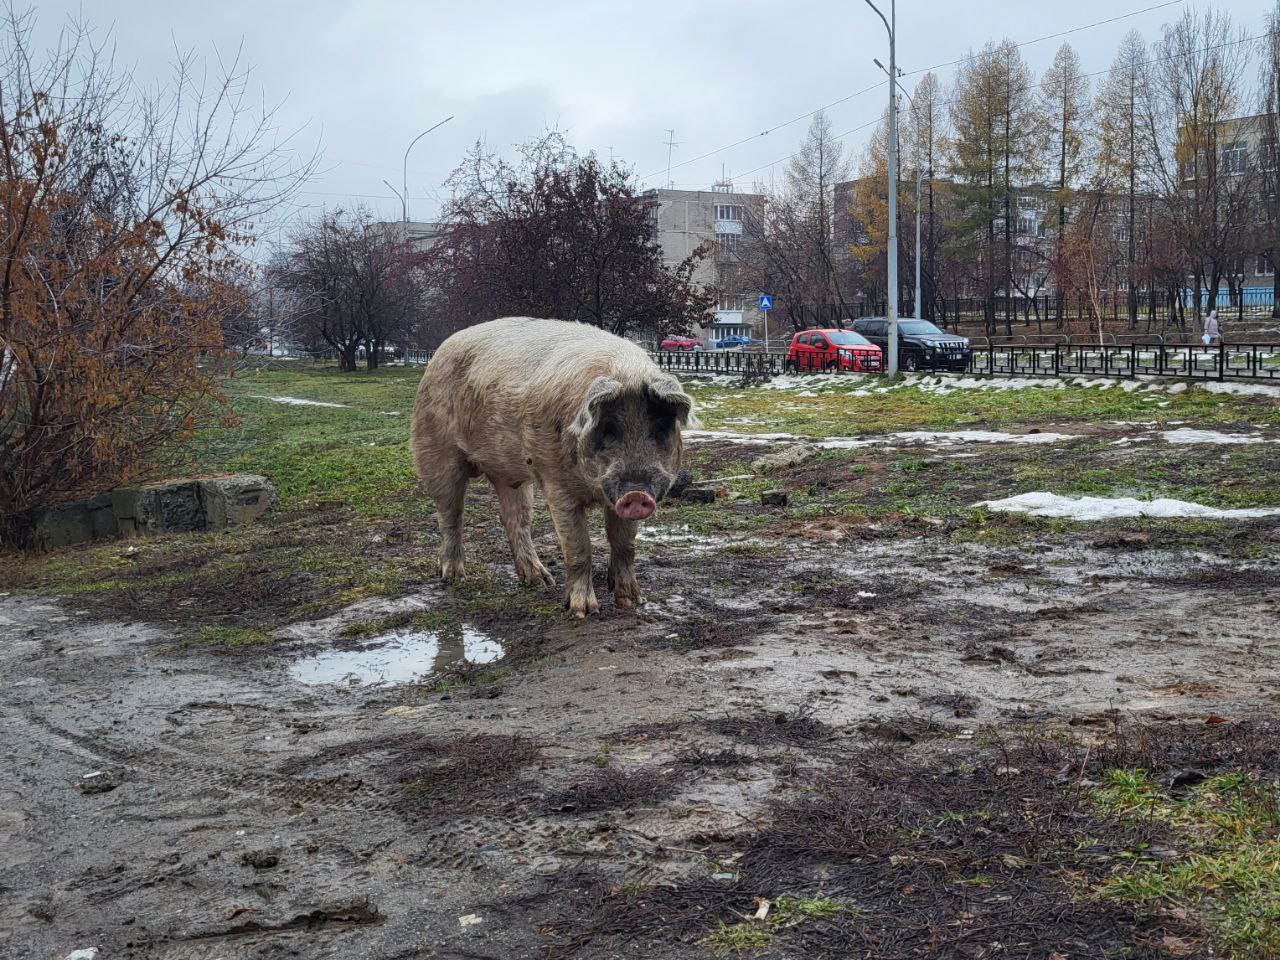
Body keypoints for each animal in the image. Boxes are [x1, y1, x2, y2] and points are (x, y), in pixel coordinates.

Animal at [409, 316, 696, 616]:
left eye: (660, 429)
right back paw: (453, 577)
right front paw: (583, 612)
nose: (637, 494)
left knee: (514, 518)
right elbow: (579, 547)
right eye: (608, 429)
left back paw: (540, 580)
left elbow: (625, 545)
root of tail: (439, 353)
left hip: (511, 475)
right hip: (434, 449)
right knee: (450, 514)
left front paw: (632, 602)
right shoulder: (555, 482)